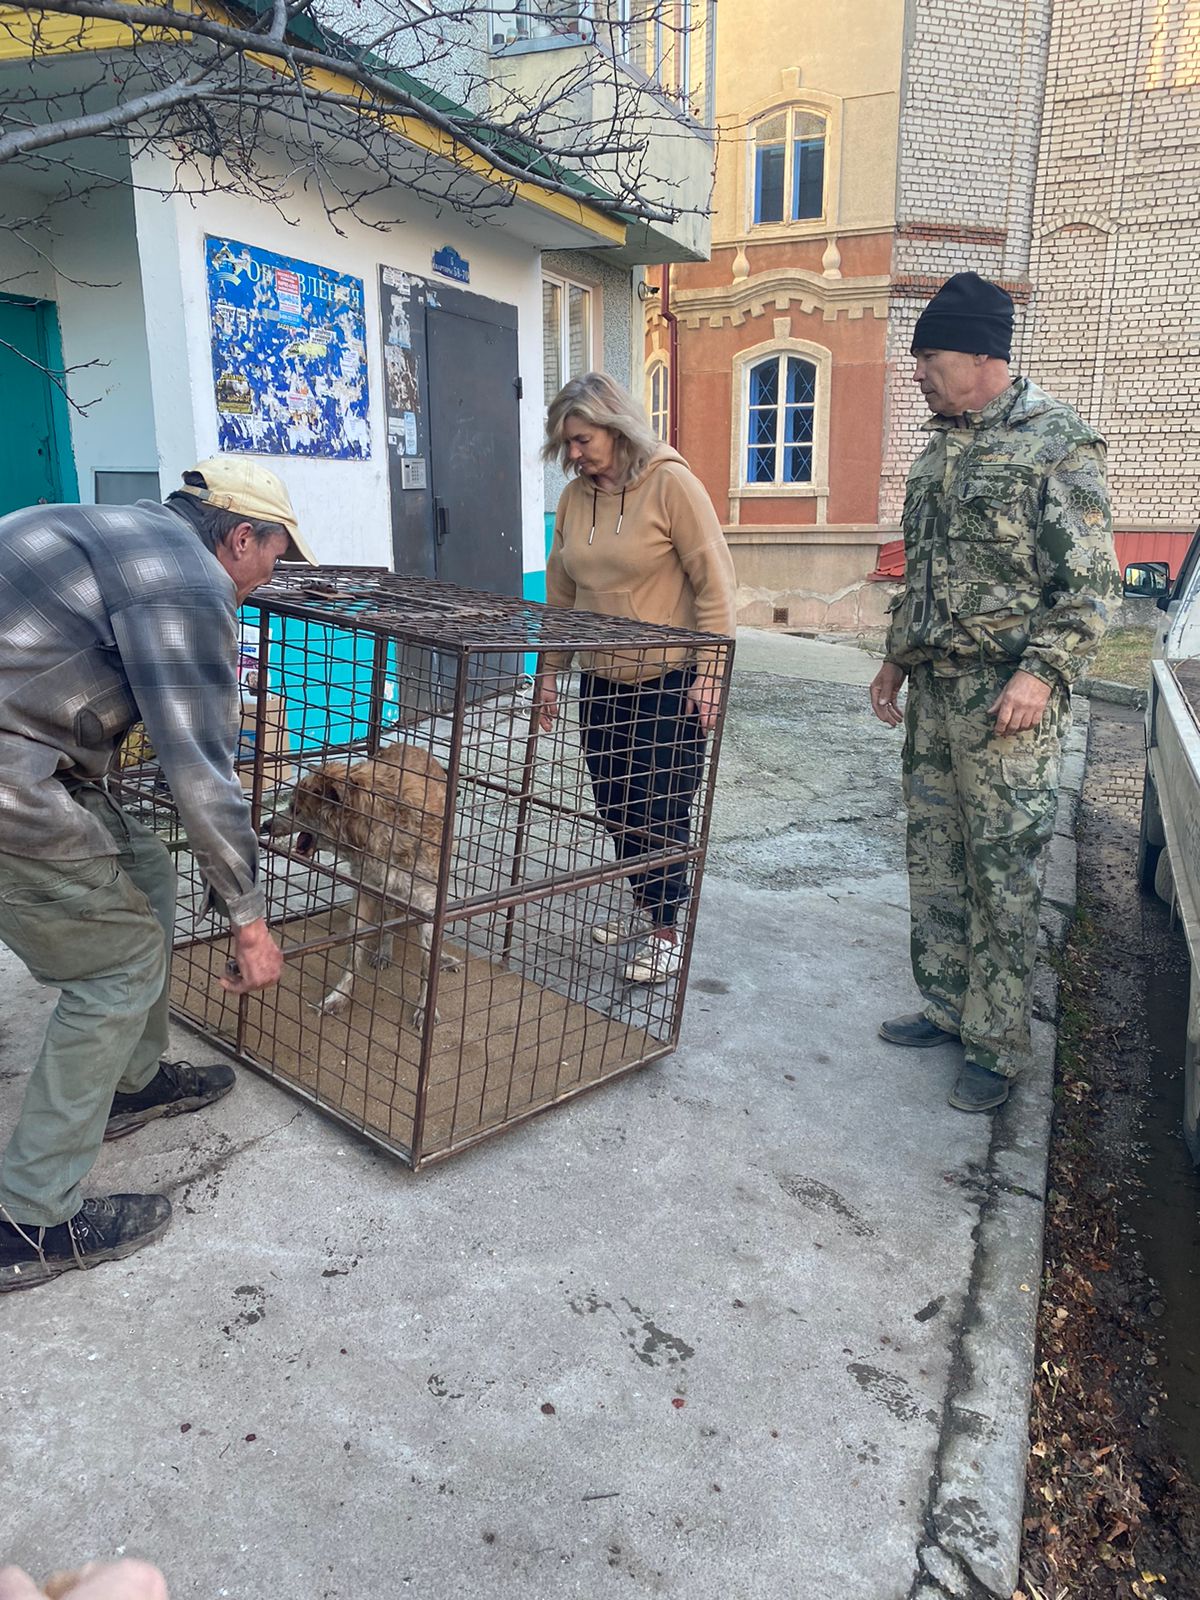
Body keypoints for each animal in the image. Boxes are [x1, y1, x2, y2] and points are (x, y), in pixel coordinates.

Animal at [267, 736, 460, 1024]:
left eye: (296, 810)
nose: (265, 825)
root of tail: (409, 745)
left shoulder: (426, 901)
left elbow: (427, 963)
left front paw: (426, 1006)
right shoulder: (366, 892)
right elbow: (352, 950)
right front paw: (338, 997)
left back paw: (444, 959)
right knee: (388, 919)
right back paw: (383, 951)